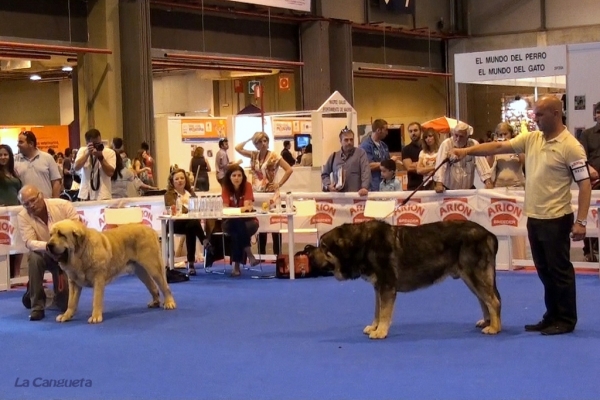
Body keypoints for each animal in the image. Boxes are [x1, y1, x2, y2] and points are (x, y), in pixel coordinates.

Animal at [304, 220, 502, 340]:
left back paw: (495, 327)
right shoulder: (379, 287)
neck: (363, 245)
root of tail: (488, 234)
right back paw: (488, 322)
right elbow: (377, 310)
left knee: (493, 300)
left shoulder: (387, 286)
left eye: (324, 247)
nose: (308, 252)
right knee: (484, 300)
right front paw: (375, 327)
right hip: (470, 278)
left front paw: (380, 331)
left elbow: (384, 312)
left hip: (475, 274)